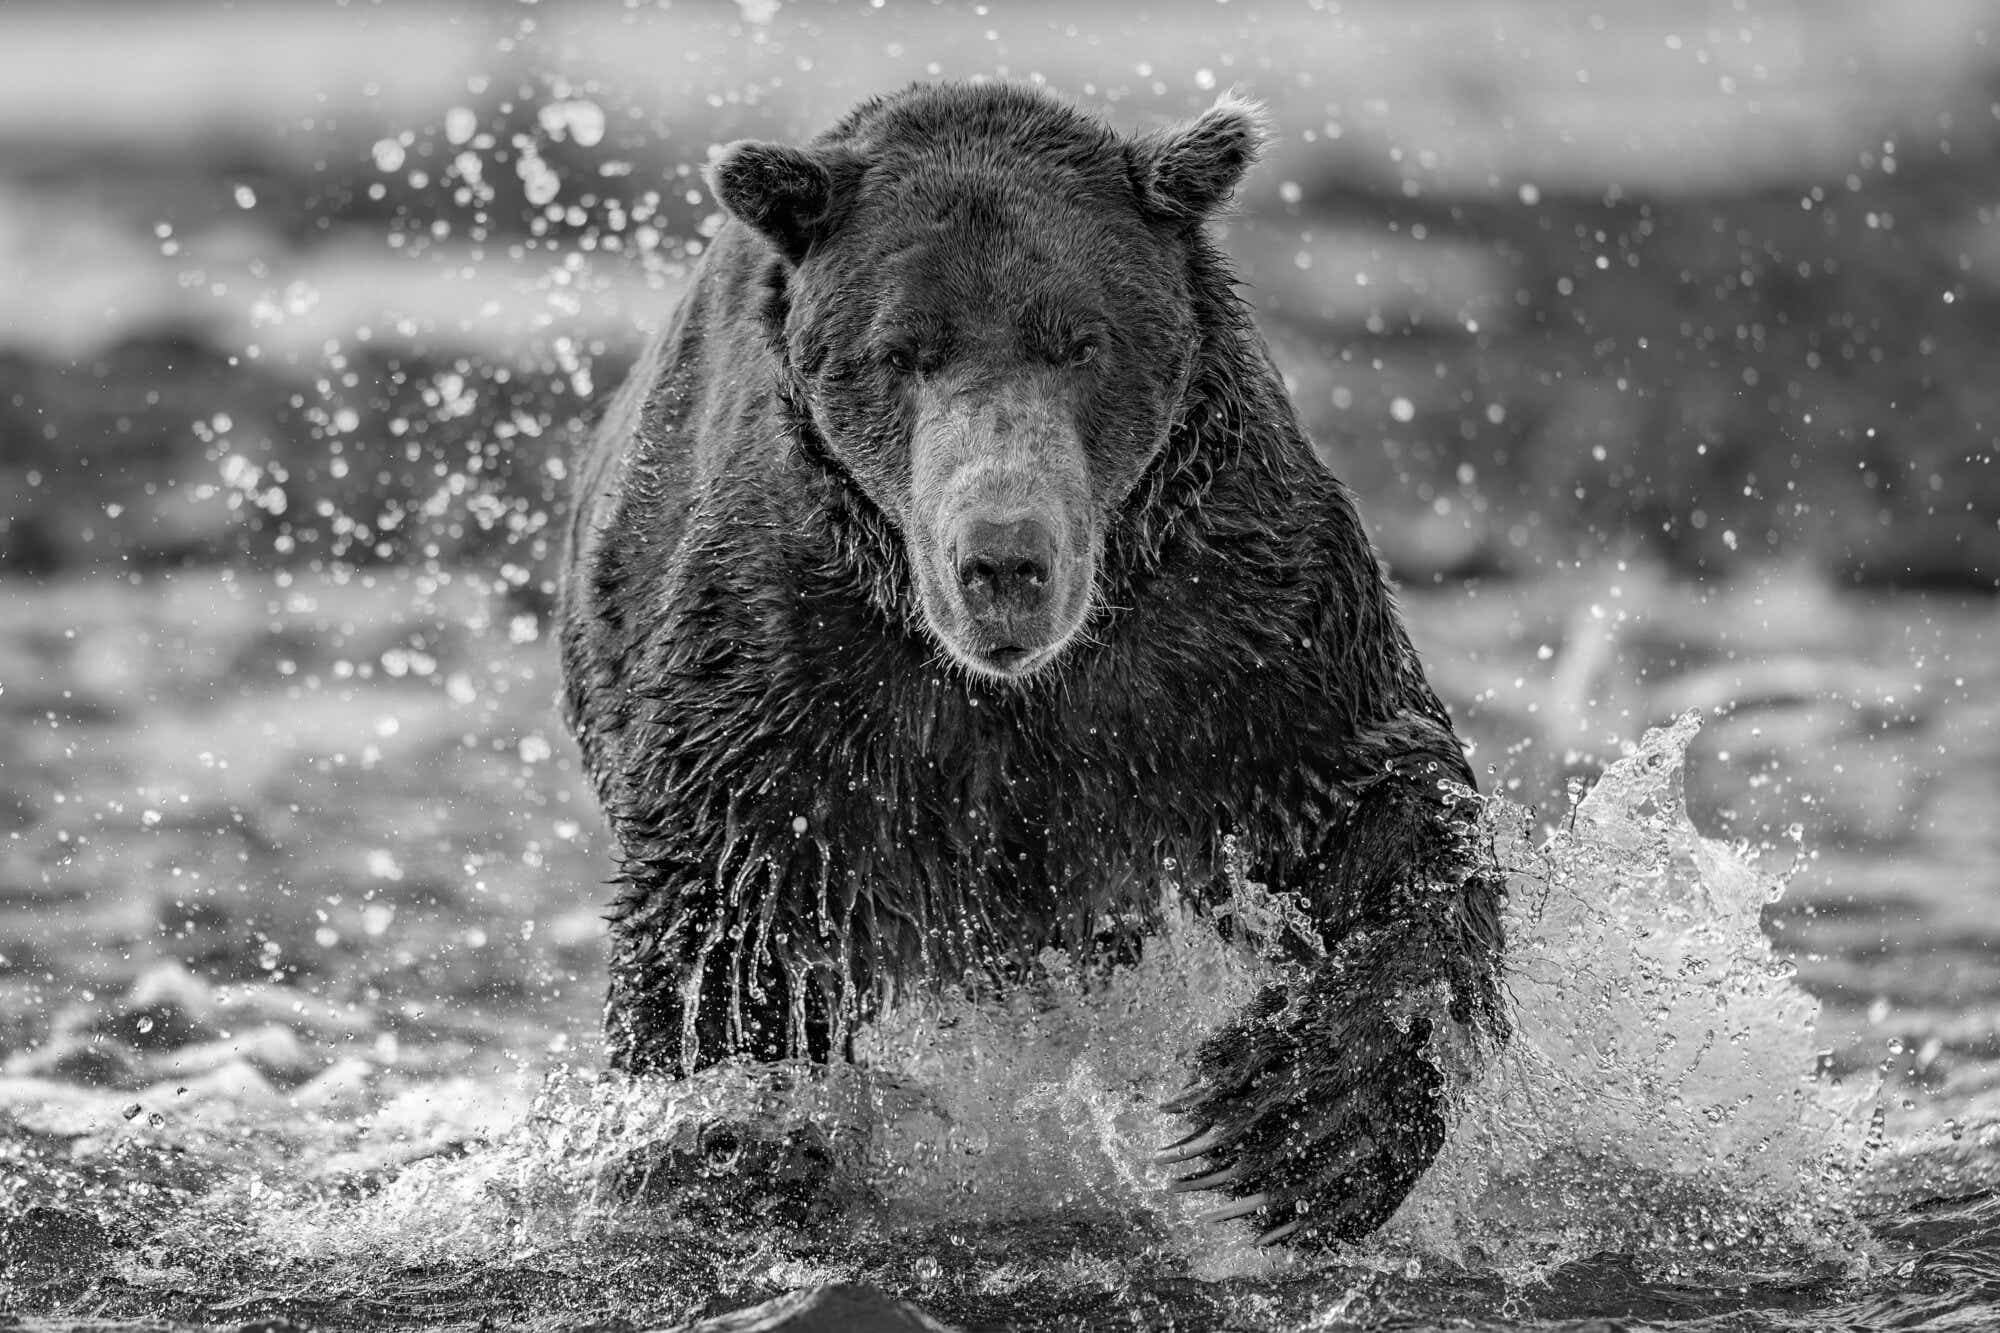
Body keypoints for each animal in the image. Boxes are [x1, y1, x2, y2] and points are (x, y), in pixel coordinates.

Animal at [556, 81, 1507, 1247]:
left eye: (1078, 341)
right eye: (902, 350)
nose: (1003, 558)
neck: (1014, 688)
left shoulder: (1242, 635)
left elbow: (1386, 804)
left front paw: (1294, 1118)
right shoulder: (788, 675)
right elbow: (728, 930)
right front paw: (740, 1140)